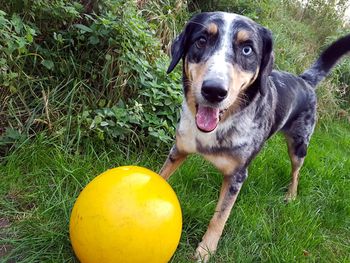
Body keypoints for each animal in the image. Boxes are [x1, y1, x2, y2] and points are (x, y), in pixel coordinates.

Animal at [159, 11, 350, 262]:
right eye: (201, 40)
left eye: (247, 49)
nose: (214, 91)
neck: (219, 128)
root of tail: (305, 80)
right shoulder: (178, 150)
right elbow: (161, 176)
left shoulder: (237, 176)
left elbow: (220, 217)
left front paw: (205, 250)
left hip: (299, 145)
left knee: (296, 171)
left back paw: (291, 195)